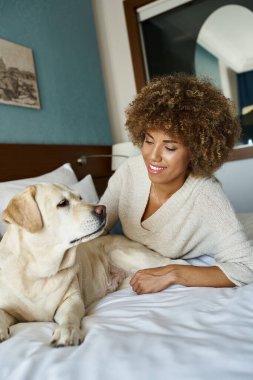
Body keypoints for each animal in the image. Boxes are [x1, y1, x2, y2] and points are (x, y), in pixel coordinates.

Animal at [0, 183, 172, 346]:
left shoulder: (72, 298)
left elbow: (70, 315)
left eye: (80, 198)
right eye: (62, 203)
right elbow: (2, 314)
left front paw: (67, 331)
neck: (39, 272)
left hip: (123, 254)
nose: (103, 209)